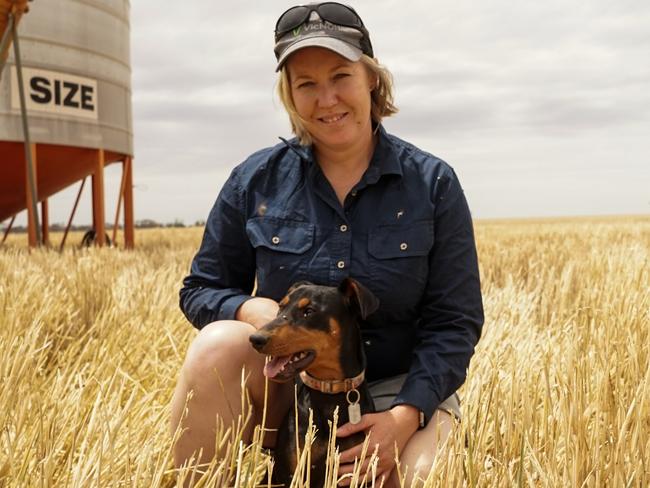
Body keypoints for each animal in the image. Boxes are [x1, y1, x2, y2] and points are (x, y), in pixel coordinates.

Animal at [249, 278, 380, 488]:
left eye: (309, 311)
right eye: (281, 307)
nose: (255, 339)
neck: (330, 391)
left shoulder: (357, 471)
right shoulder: (291, 472)